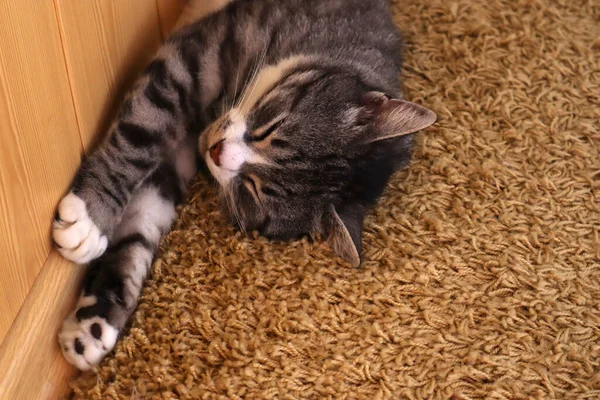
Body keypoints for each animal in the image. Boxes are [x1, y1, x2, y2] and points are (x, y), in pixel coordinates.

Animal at [54, 0, 436, 370]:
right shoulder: (199, 56)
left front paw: (93, 325)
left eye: (252, 189)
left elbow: (140, 228)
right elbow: (142, 133)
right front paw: (90, 216)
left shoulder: (178, 159)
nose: (217, 151)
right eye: (272, 129)